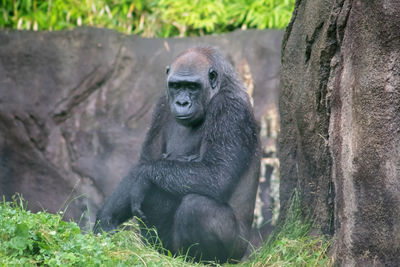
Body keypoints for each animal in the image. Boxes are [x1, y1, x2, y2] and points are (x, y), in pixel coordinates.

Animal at [95, 46, 260, 264]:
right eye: (175, 86)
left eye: (192, 87)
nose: (182, 102)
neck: (218, 88)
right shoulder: (162, 104)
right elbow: (144, 163)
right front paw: (105, 220)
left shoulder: (229, 110)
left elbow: (217, 174)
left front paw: (145, 176)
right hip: (166, 248)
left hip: (237, 251)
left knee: (196, 206)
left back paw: (205, 260)